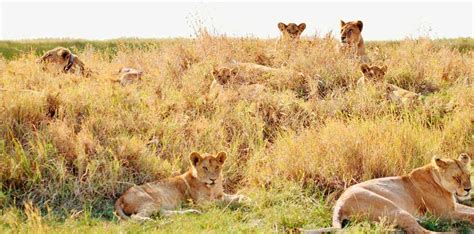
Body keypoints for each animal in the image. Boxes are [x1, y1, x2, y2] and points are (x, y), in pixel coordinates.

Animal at [115, 151, 248, 220]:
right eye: (205, 168)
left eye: (217, 167)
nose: (213, 179)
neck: (213, 188)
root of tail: (120, 197)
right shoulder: (203, 203)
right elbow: (224, 203)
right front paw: (241, 203)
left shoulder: (220, 194)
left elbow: (234, 195)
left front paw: (246, 199)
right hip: (150, 201)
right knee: (135, 217)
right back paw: (150, 221)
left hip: (156, 204)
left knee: (162, 213)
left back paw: (192, 212)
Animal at [332, 154, 472, 234]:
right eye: (457, 178)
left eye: (469, 175)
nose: (469, 189)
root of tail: (339, 204)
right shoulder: (443, 214)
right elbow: (469, 216)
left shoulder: (454, 206)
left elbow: (470, 210)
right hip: (394, 209)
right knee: (419, 231)